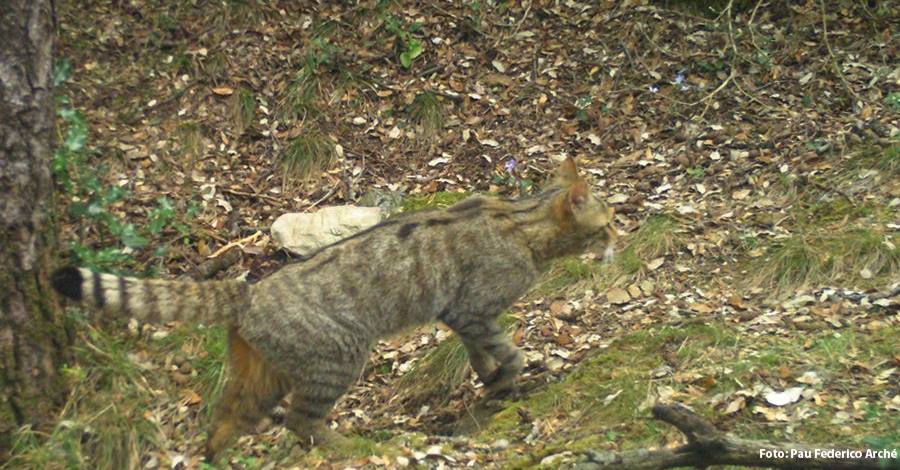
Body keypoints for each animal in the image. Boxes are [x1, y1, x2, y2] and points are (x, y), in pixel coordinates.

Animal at [51, 159, 620, 462]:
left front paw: (491, 381)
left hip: (260, 379)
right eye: (609, 221)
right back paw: (349, 447)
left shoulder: (456, 315)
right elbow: (508, 350)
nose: (622, 234)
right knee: (300, 423)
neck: (524, 227)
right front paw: (507, 377)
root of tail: (249, 291)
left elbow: (481, 355)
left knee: (224, 419)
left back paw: (218, 460)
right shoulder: (472, 309)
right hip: (338, 358)